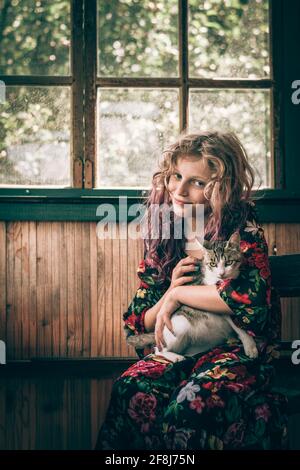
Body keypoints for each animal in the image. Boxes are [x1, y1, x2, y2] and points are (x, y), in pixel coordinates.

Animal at [125, 231, 258, 364]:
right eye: (213, 264)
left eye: (229, 262)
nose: (221, 273)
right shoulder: (220, 302)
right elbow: (238, 326)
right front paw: (250, 346)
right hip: (180, 325)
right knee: (157, 350)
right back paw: (175, 356)